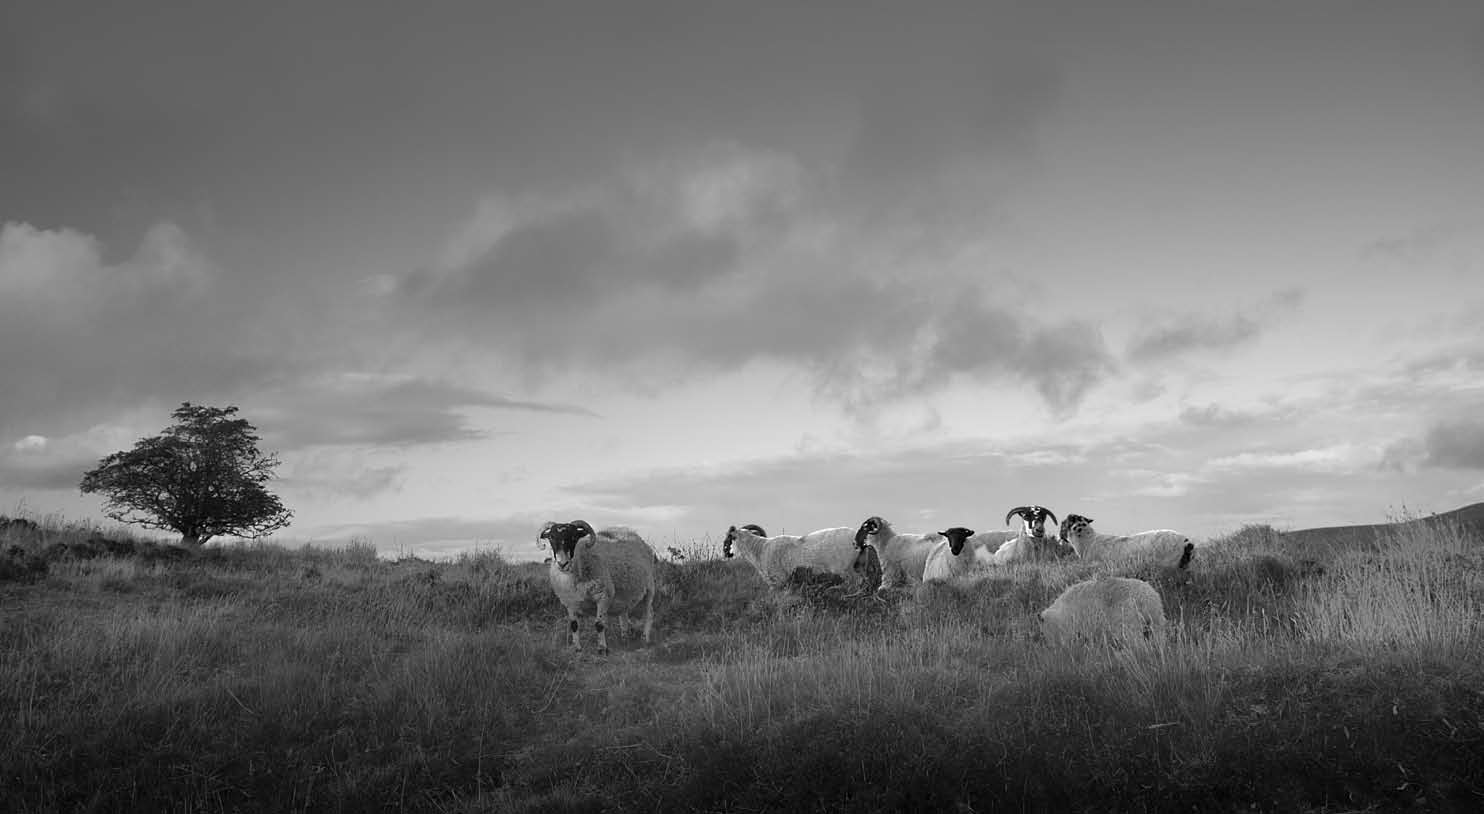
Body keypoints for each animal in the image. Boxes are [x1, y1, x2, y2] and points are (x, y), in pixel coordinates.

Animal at [540, 521, 655, 652]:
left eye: (574, 537)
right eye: (551, 537)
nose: (562, 563)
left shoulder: (603, 596)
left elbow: (599, 624)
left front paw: (602, 649)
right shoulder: (570, 601)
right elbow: (574, 625)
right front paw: (577, 649)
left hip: (649, 589)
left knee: (649, 614)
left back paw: (645, 639)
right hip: (624, 593)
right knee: (624, 614)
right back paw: (624, 638)